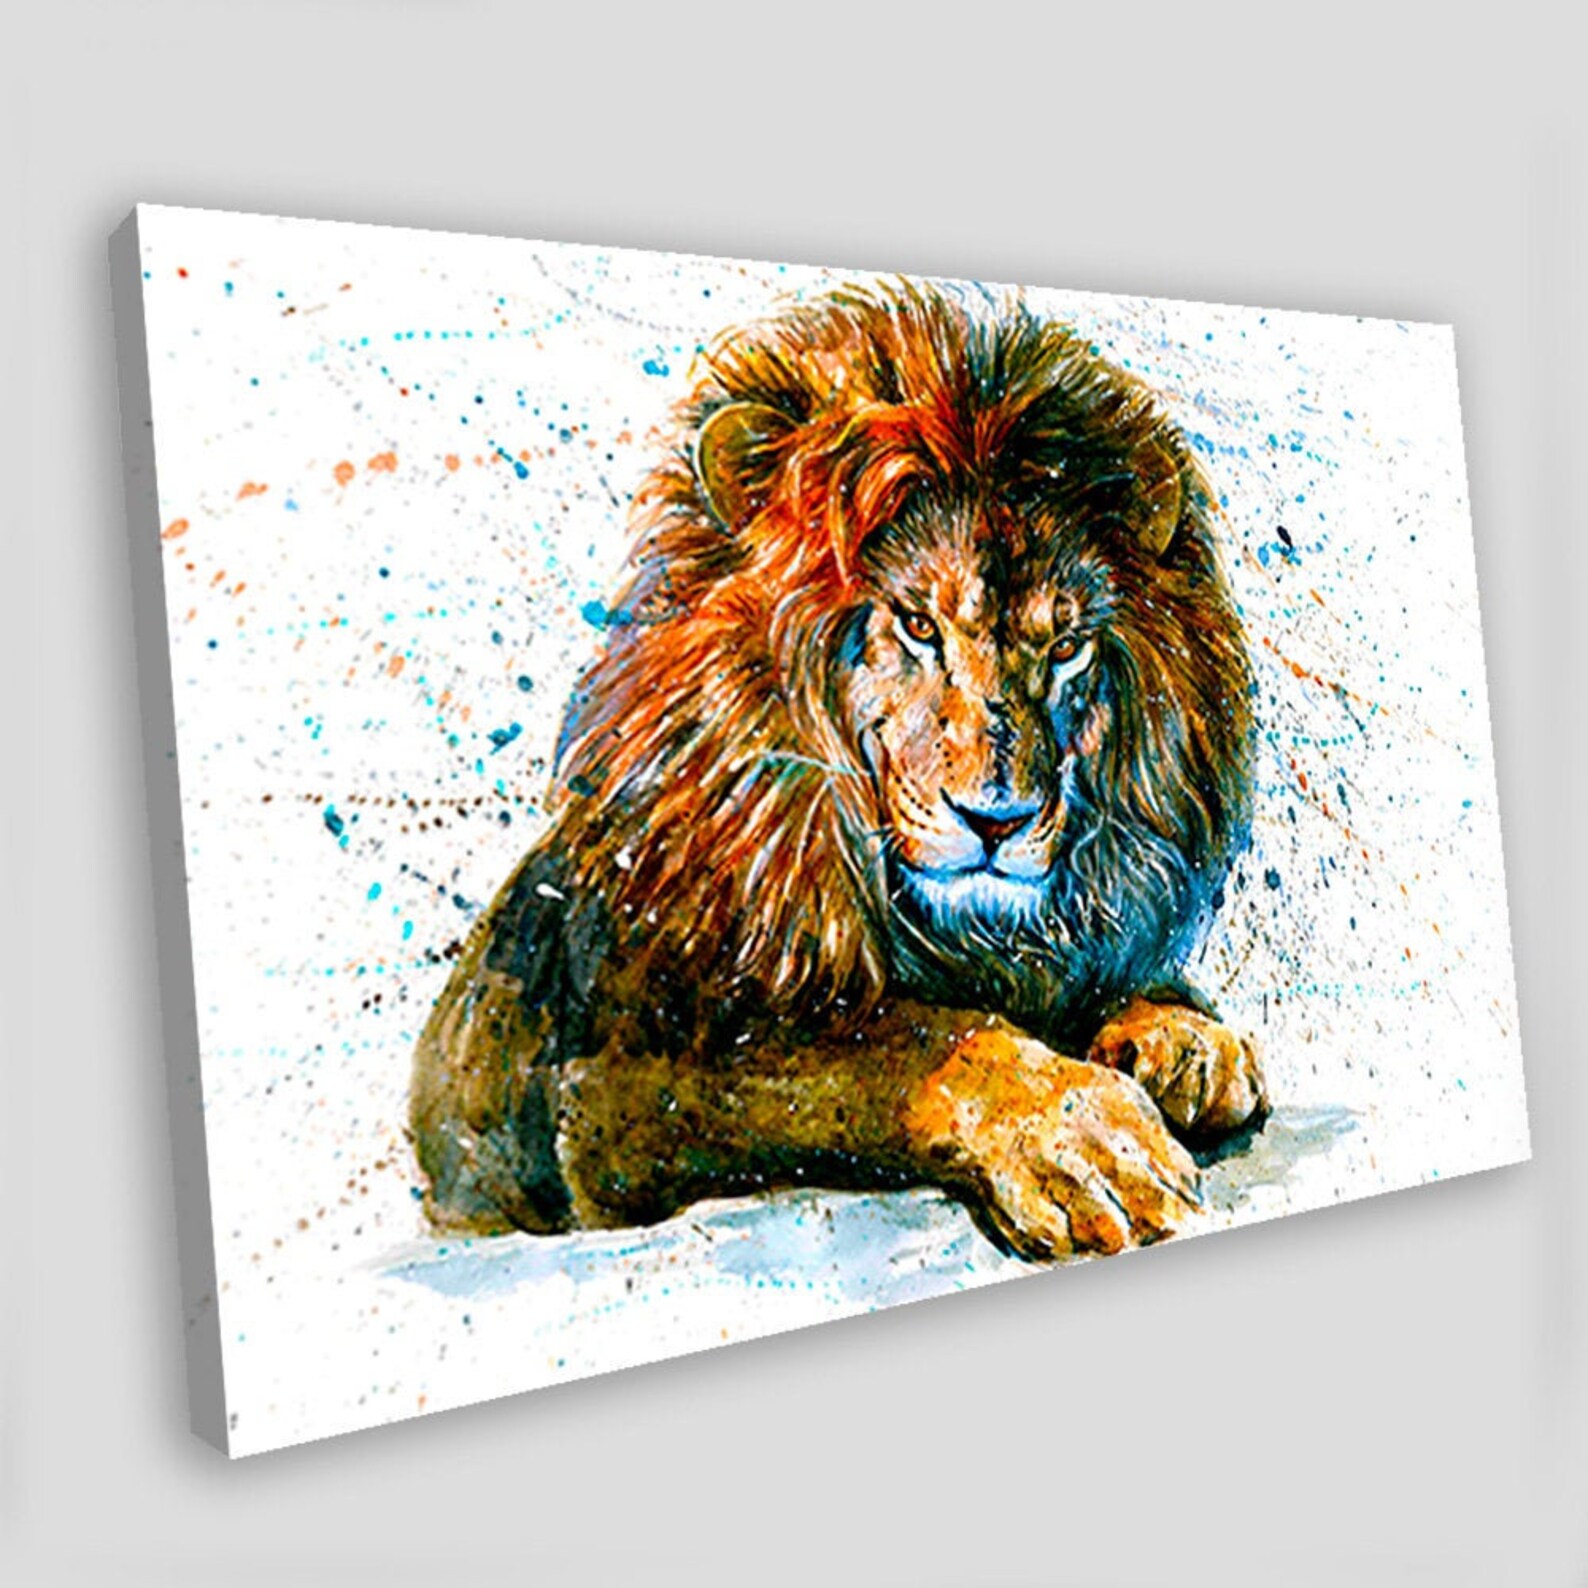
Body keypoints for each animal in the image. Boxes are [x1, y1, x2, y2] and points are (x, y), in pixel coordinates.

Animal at [409, 279, 1267, 1262]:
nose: (998, 822)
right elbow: (902, 1049)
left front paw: (1184, 1039)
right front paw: (1080, 1137)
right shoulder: (607, 1097)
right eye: (917, 624)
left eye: (1065, 648)